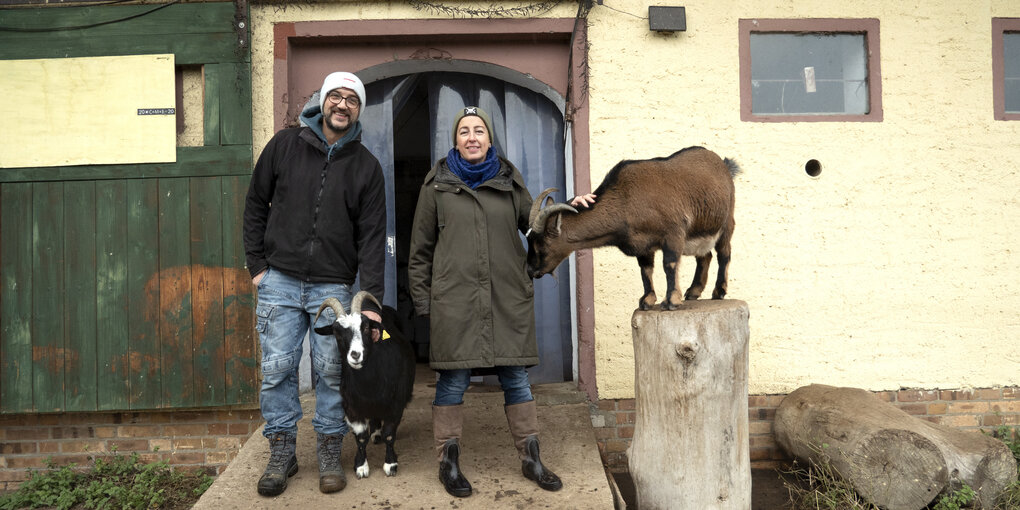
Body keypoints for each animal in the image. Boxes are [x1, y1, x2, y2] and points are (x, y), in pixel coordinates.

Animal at [316, 293, 416, 479]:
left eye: (367, 328)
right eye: (336, 332)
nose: (355, 355)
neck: (369, 384)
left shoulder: (396, 405)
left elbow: (389, 435)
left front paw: (390, 464)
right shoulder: (351, 408)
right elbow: (361, 437)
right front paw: (361, 466)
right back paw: (375, 434)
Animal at [530, 144, 738, 310]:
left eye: (541, 246)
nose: (531, 271)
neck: (626, 199)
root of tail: (724, 165)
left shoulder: (673, 232)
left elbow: (669, 264)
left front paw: (671, 301)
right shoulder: (643, 244)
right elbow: (645, 270)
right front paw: (647, 300)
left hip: (727, 221)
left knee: (724, 253)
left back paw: (719, 291)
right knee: (705, 256)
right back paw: (693, 291)